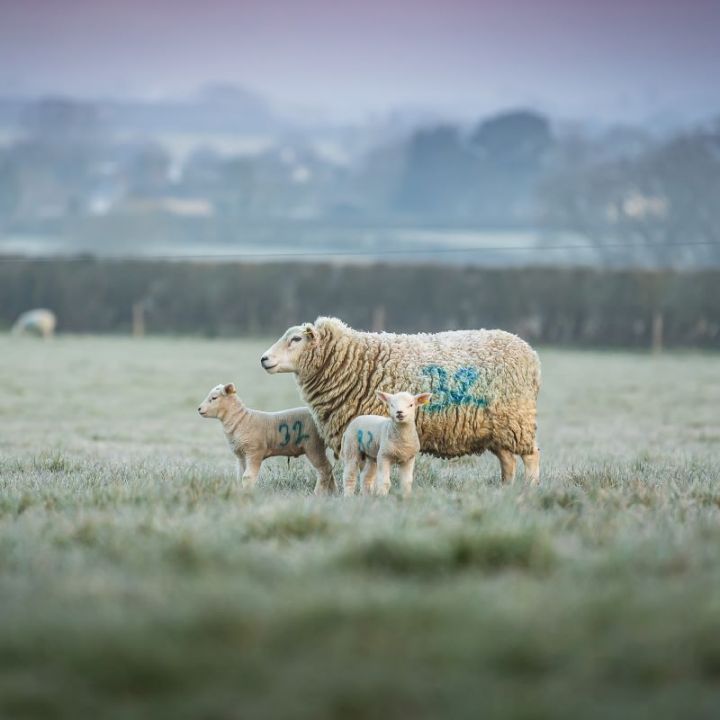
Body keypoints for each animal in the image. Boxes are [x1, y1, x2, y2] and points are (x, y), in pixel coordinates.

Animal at [194, 382, 334, 496]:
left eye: (214, 398)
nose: (199, 409)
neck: (241, 420)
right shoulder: (241, 456)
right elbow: (240, 475)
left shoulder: (254, 452)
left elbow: (247, 477)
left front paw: (248, 494)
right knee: (329, 469)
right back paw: (332, 493)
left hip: (313, 445)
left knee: (324, 469)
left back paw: (318, 494)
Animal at [260, 316, 540, 484]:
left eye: (296, 339)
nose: (263, 359)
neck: (354, 361)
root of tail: (529, 351)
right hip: (498, 428)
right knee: (508, 461)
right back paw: (505, 489)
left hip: (518, 420)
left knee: (531, 456)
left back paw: (529, 489)